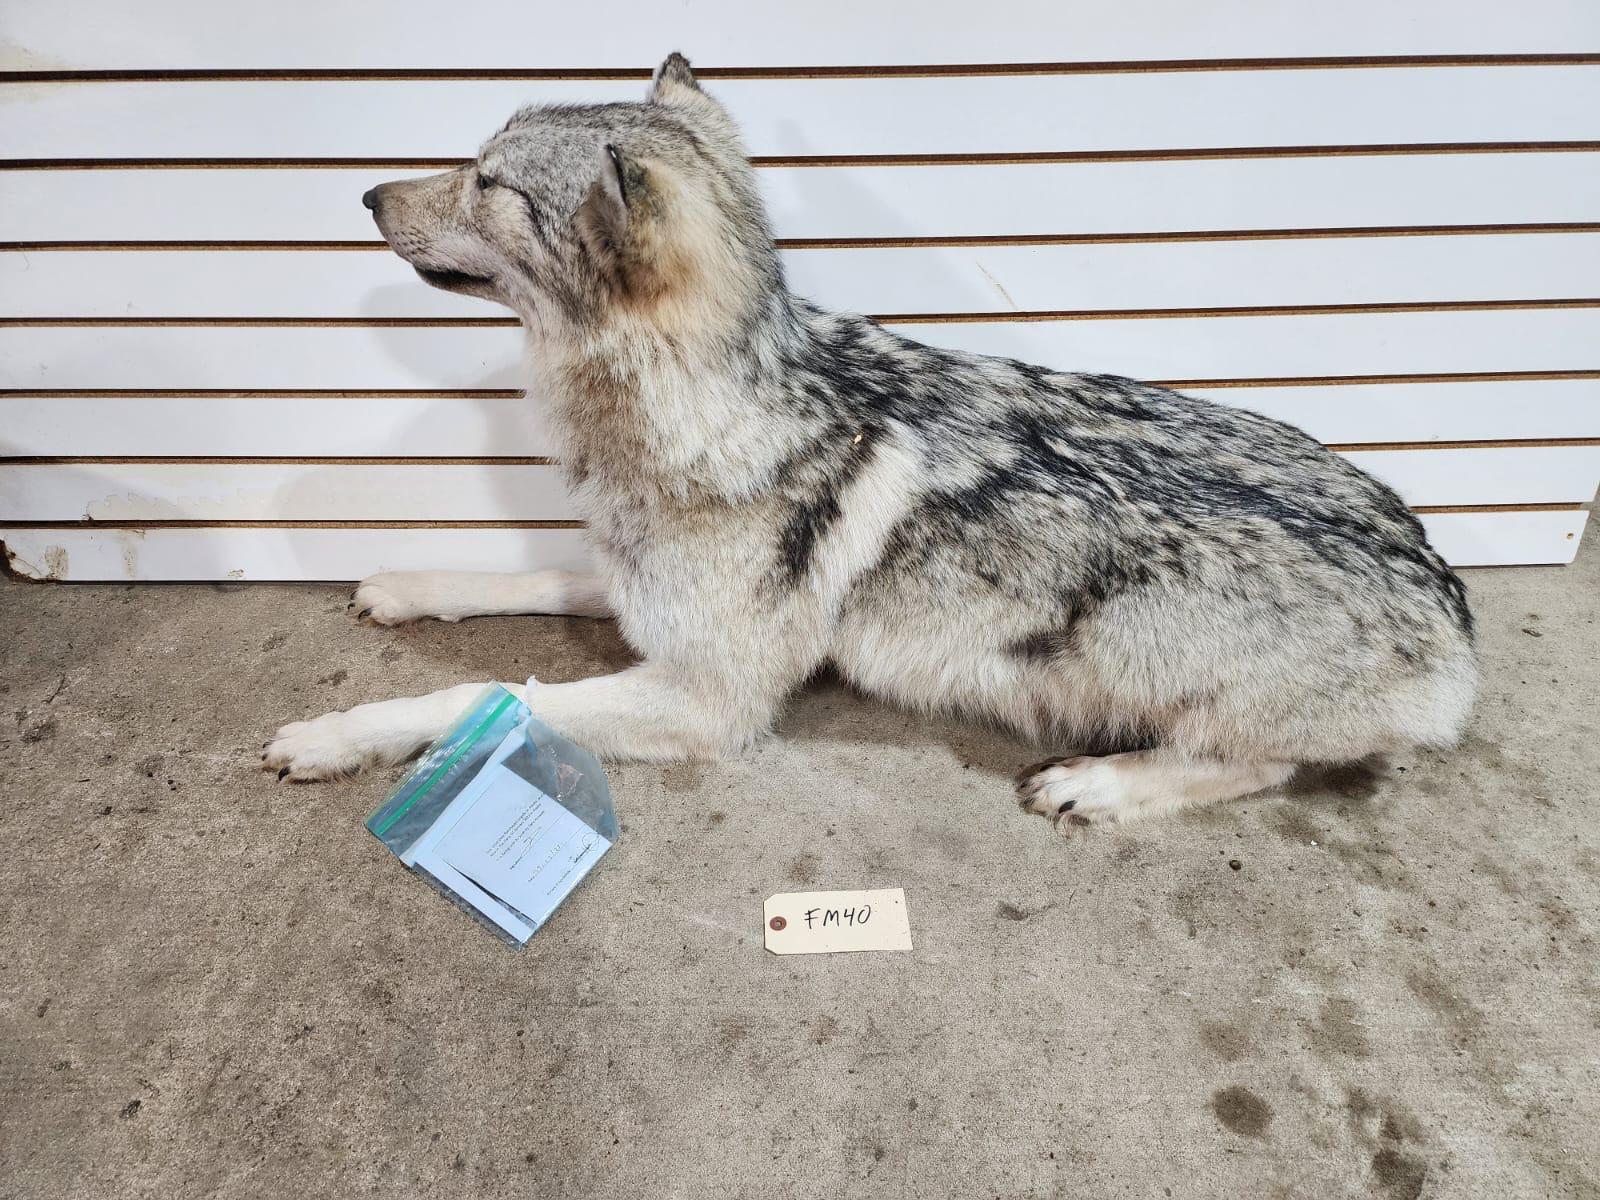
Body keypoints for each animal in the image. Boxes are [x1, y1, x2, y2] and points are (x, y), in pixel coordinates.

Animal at [264, 54, 1477, 824]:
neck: (724, 404)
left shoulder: (706, 701)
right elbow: (521, 575)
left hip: (1160, 671)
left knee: (1254, 770)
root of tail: (1455, 608)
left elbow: (474, 700)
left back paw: (1097, 785)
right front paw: (412, 584)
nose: (363, 194)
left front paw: (331, 735)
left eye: (486, 181)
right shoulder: (637, 594)